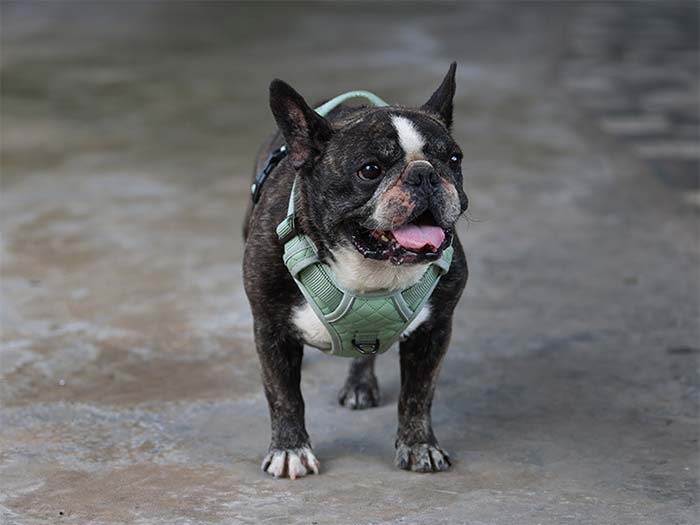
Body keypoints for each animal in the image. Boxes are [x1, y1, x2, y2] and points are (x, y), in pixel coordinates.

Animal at [243, 63, 468, 478]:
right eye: (370, 170)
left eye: (454, 160)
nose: (426, 174)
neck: (370, 267)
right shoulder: (270, 328)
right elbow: (284, 395)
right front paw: (290, 450)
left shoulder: (434, 330)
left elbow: (418, 394)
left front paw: (419, 445)